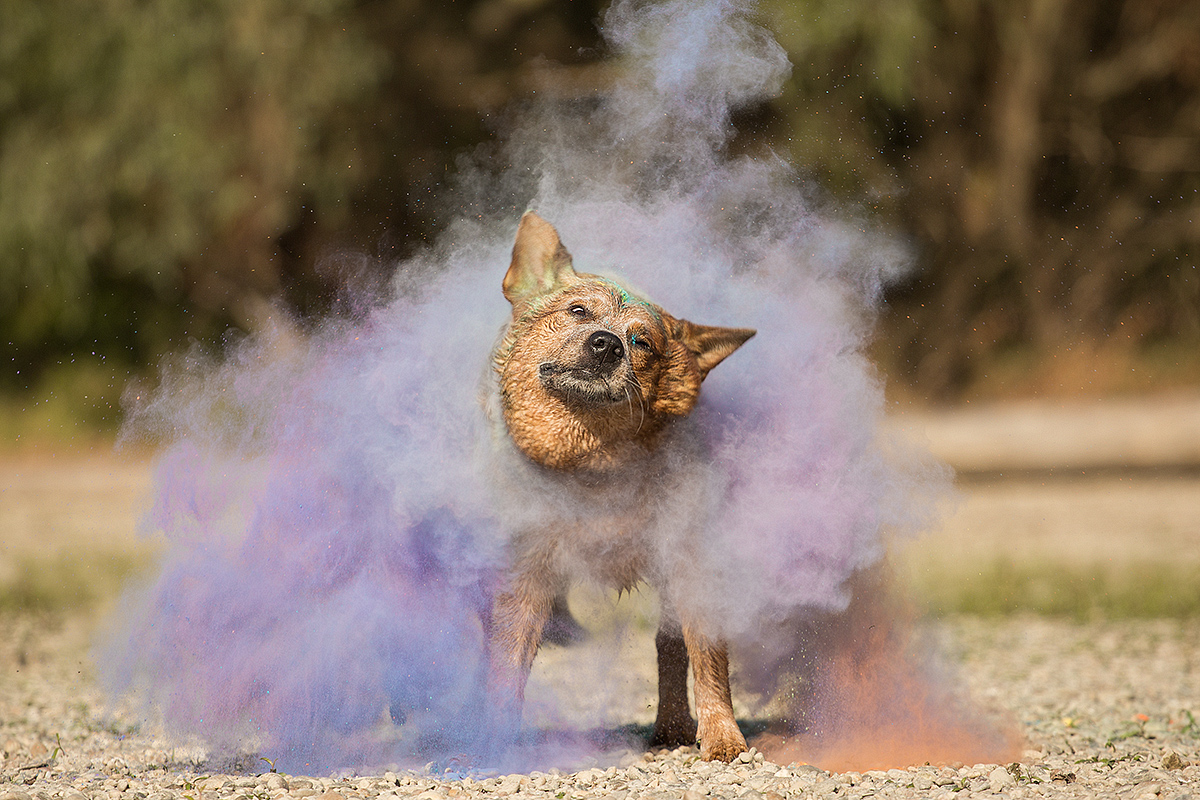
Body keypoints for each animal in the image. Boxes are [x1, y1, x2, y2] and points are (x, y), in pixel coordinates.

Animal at [484, 212, 748, 762]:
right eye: (577, 311)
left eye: (642, 342)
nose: (606, 343)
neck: (597, 469)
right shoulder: (525, 572)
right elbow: (508, 658)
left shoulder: (690, 562)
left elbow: (706, 660)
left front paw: (722, 737)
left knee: (670, 649)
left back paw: (671, 727)